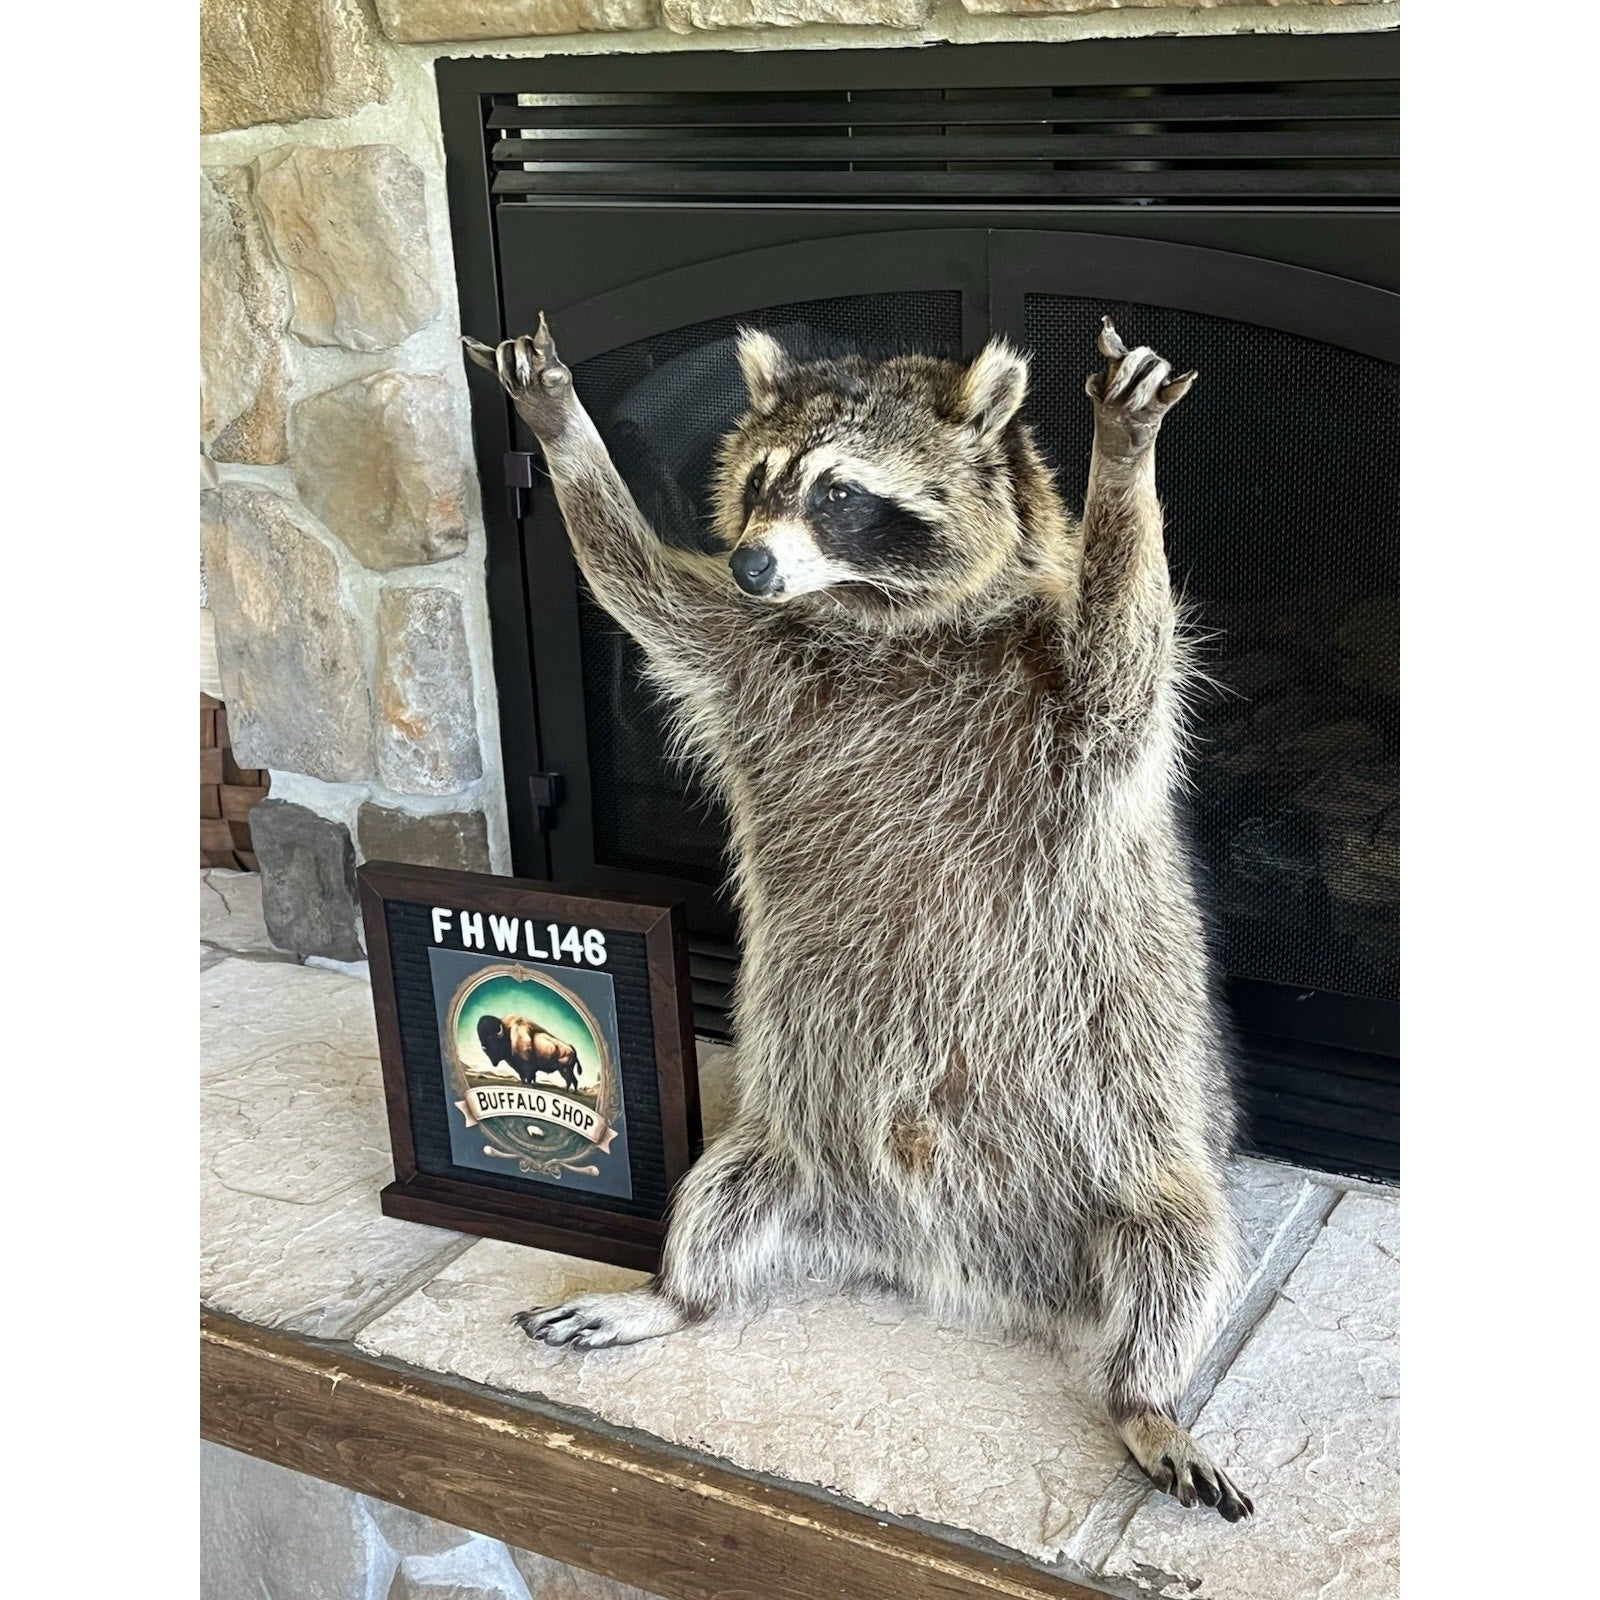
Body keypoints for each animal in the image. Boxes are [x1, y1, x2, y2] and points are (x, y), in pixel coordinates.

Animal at [466, 314, 1252, 1520]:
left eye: (840, 495)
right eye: (760, 484)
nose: (751, 562)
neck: (873, 615)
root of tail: (939, 1261)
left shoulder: (1064, 705)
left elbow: (1123, 650)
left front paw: (1126, 464)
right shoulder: (745, 653)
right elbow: (639, 585)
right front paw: (560, 428)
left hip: (1141, 1152)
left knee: (1185, 1254)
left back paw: (1145, 1390)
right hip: (780, 1145)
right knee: (715, 1201)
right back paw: (673, 1290)